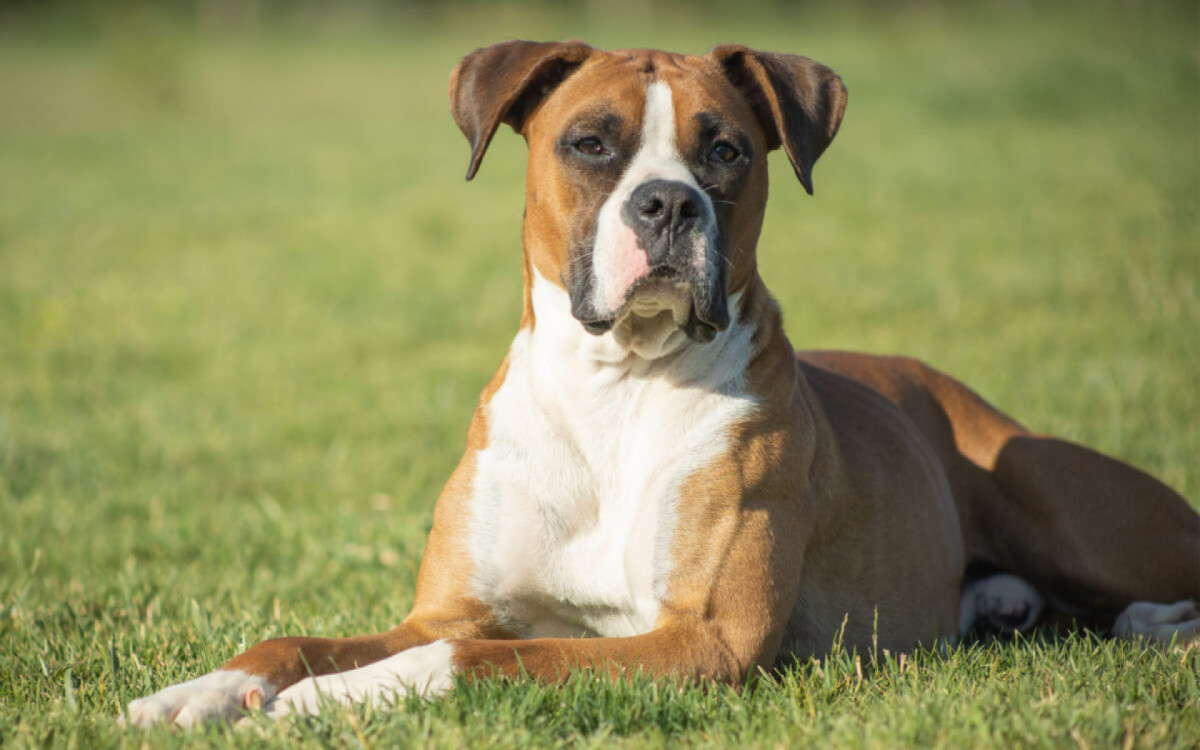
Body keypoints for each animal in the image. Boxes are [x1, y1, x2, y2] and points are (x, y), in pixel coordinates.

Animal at [124, 40, 1200, 724]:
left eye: (725, 150)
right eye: (589, 143)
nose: (667, 204)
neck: (613, 387)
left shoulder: (697, 641)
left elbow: (477, 659)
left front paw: (323, 703)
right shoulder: (443, 609)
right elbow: (296, 639)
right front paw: (202, 693)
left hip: (1071, 511)